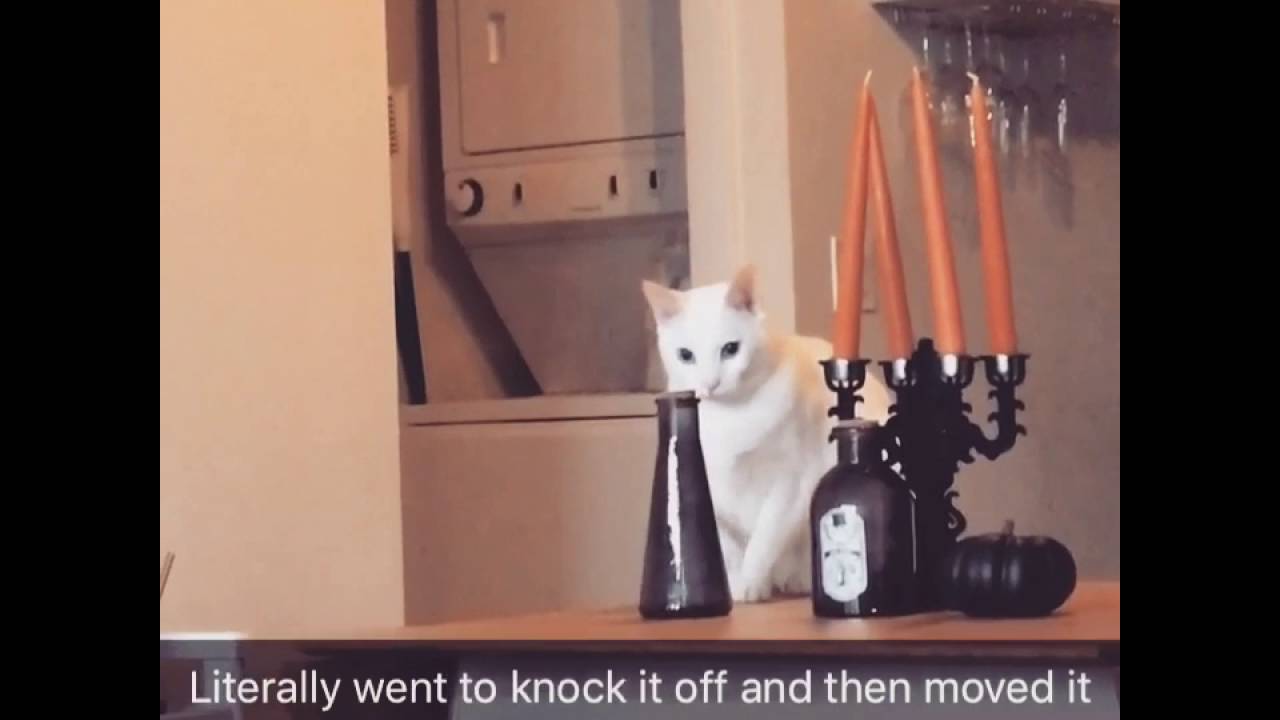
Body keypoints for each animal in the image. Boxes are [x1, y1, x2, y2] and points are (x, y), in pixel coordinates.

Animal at [642, 265, 892, 603]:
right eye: (685, 355)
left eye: (730, 349)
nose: (710, 383)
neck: (731, 418)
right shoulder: (708, 490)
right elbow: (731, 546)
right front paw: (738, 583)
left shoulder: (790, 484)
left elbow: (764, 539)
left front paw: (749, 584)